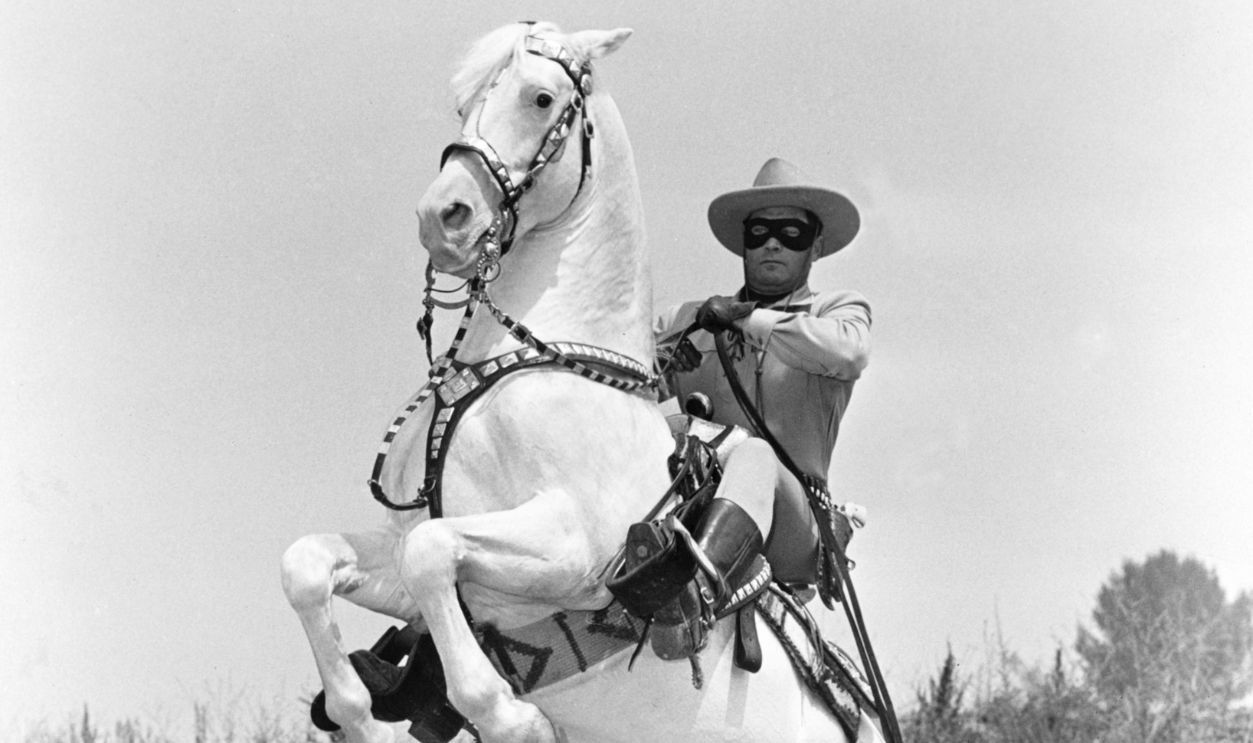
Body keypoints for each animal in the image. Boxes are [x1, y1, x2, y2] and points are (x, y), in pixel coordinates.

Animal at [281, 22, 885, 743]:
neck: (539, 358)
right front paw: (358, 713)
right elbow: (310, 563)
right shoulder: (411, 560)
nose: (441, 217)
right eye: (462, 107)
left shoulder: (571, 547)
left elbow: (430, 551)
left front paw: (506, 713)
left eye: (541, 98)